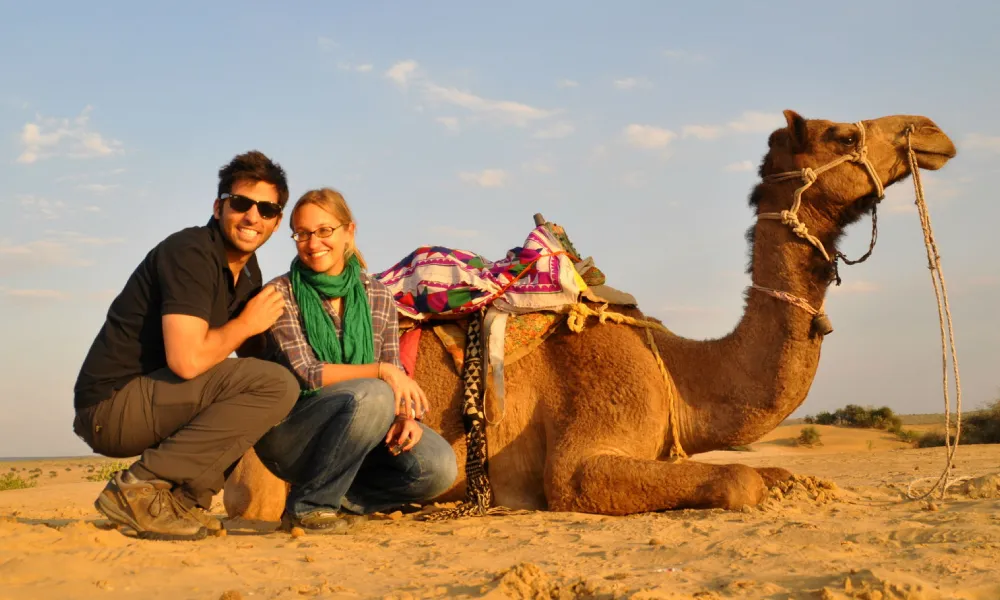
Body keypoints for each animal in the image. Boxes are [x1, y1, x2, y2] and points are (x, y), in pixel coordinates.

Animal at [223, 110, 957, 520]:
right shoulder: (584, 454)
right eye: (844, 132)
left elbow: (780, 474)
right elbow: (737, 480)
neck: (677, 368)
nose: (930, 130)